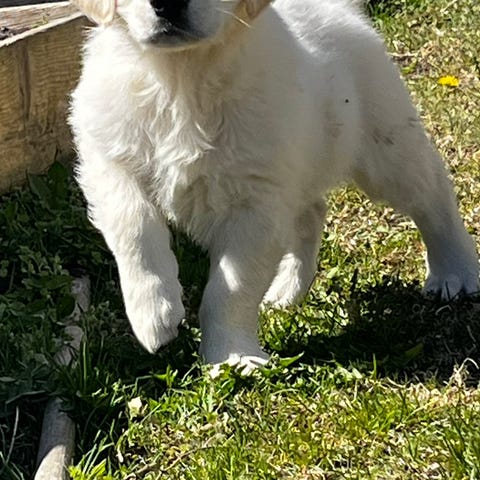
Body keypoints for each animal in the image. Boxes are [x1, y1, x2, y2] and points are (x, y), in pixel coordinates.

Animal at [69, 0, 479, 371]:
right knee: (311, 214)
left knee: (432, 197)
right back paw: (286, 290)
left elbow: (230, 290)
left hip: (386, 145)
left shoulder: (256, 204)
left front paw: (232, 356)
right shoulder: (108, 160)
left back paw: (455, 272)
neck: (181, 76)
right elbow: (134, 227)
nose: (168, 5)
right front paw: (153, 314)